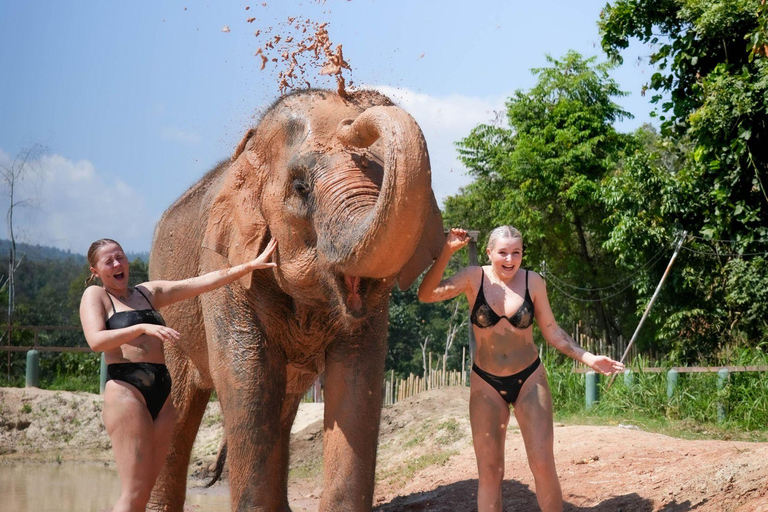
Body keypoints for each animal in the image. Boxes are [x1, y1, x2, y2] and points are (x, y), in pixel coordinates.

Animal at [147, 88, 444, 511]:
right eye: (301, 187)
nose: (354, 113)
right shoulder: (223, 267)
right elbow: (246, 377)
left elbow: (357, 375)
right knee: (178, 404)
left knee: (284, 406)